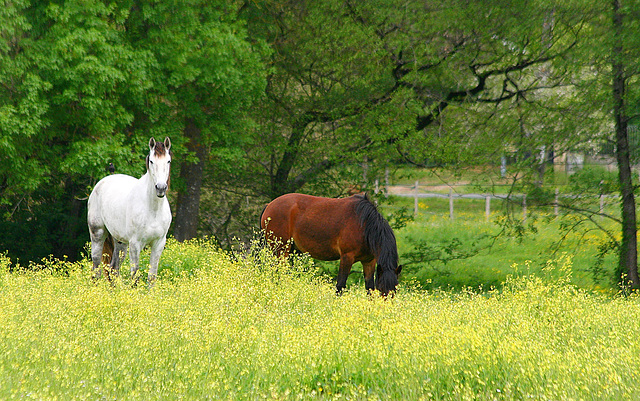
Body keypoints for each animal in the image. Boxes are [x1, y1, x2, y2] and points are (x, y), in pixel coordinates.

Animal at [88, 138, 172, 284]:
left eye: (168, 161)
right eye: (151, 161)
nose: (161, 188)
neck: (153, 210)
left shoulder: (159, 244)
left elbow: (152, 277)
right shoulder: (135, 244)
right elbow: (135, 276)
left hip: (120, 242)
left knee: (113, 270)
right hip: (97, 234)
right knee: (96, 270)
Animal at [260, 192, 400, 296]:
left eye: (394, 291)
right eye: (382, 289)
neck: (365, 225)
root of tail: (269, 205)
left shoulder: (369, 261)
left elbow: (369, 289)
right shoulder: (347, 257)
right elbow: (340, 286)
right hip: (281, 250)